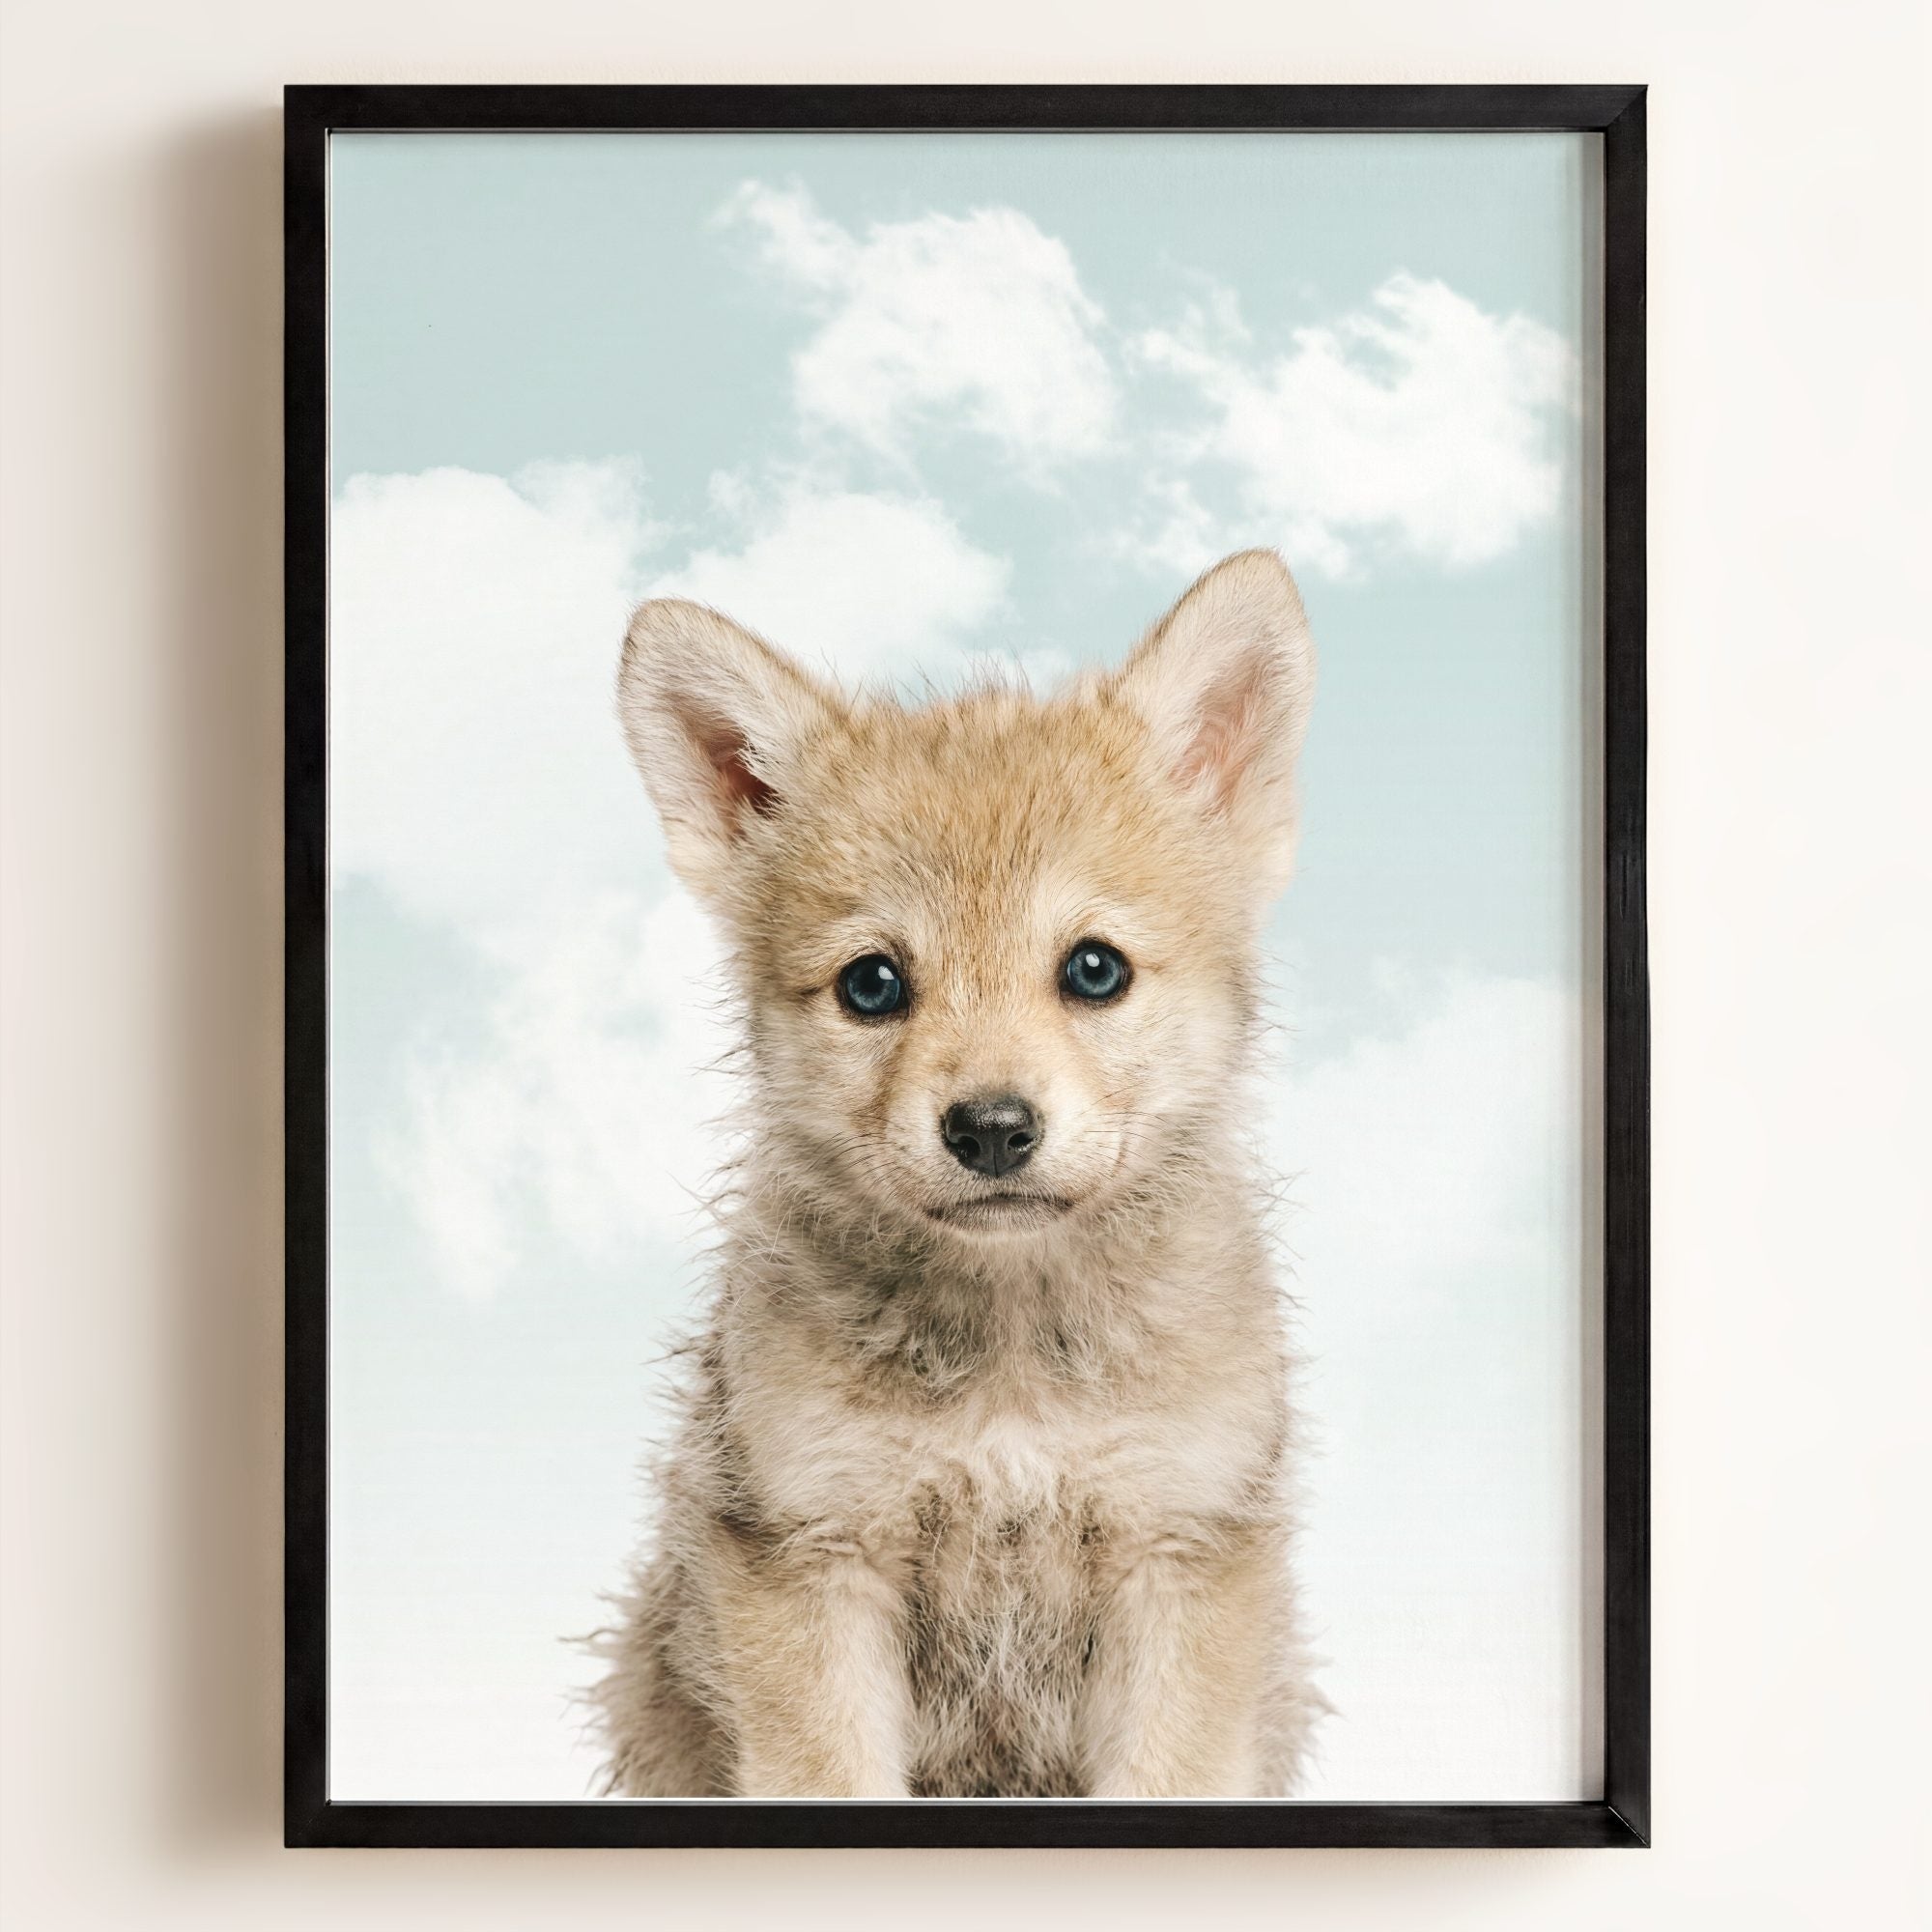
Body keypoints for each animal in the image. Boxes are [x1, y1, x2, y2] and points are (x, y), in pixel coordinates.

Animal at [590, 549, 1322, 1799]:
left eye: (1093, 968)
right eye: (871, 983)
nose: (988, 1127)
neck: (1011, 1365)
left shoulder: (1178, 1550)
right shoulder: (814, 1554)